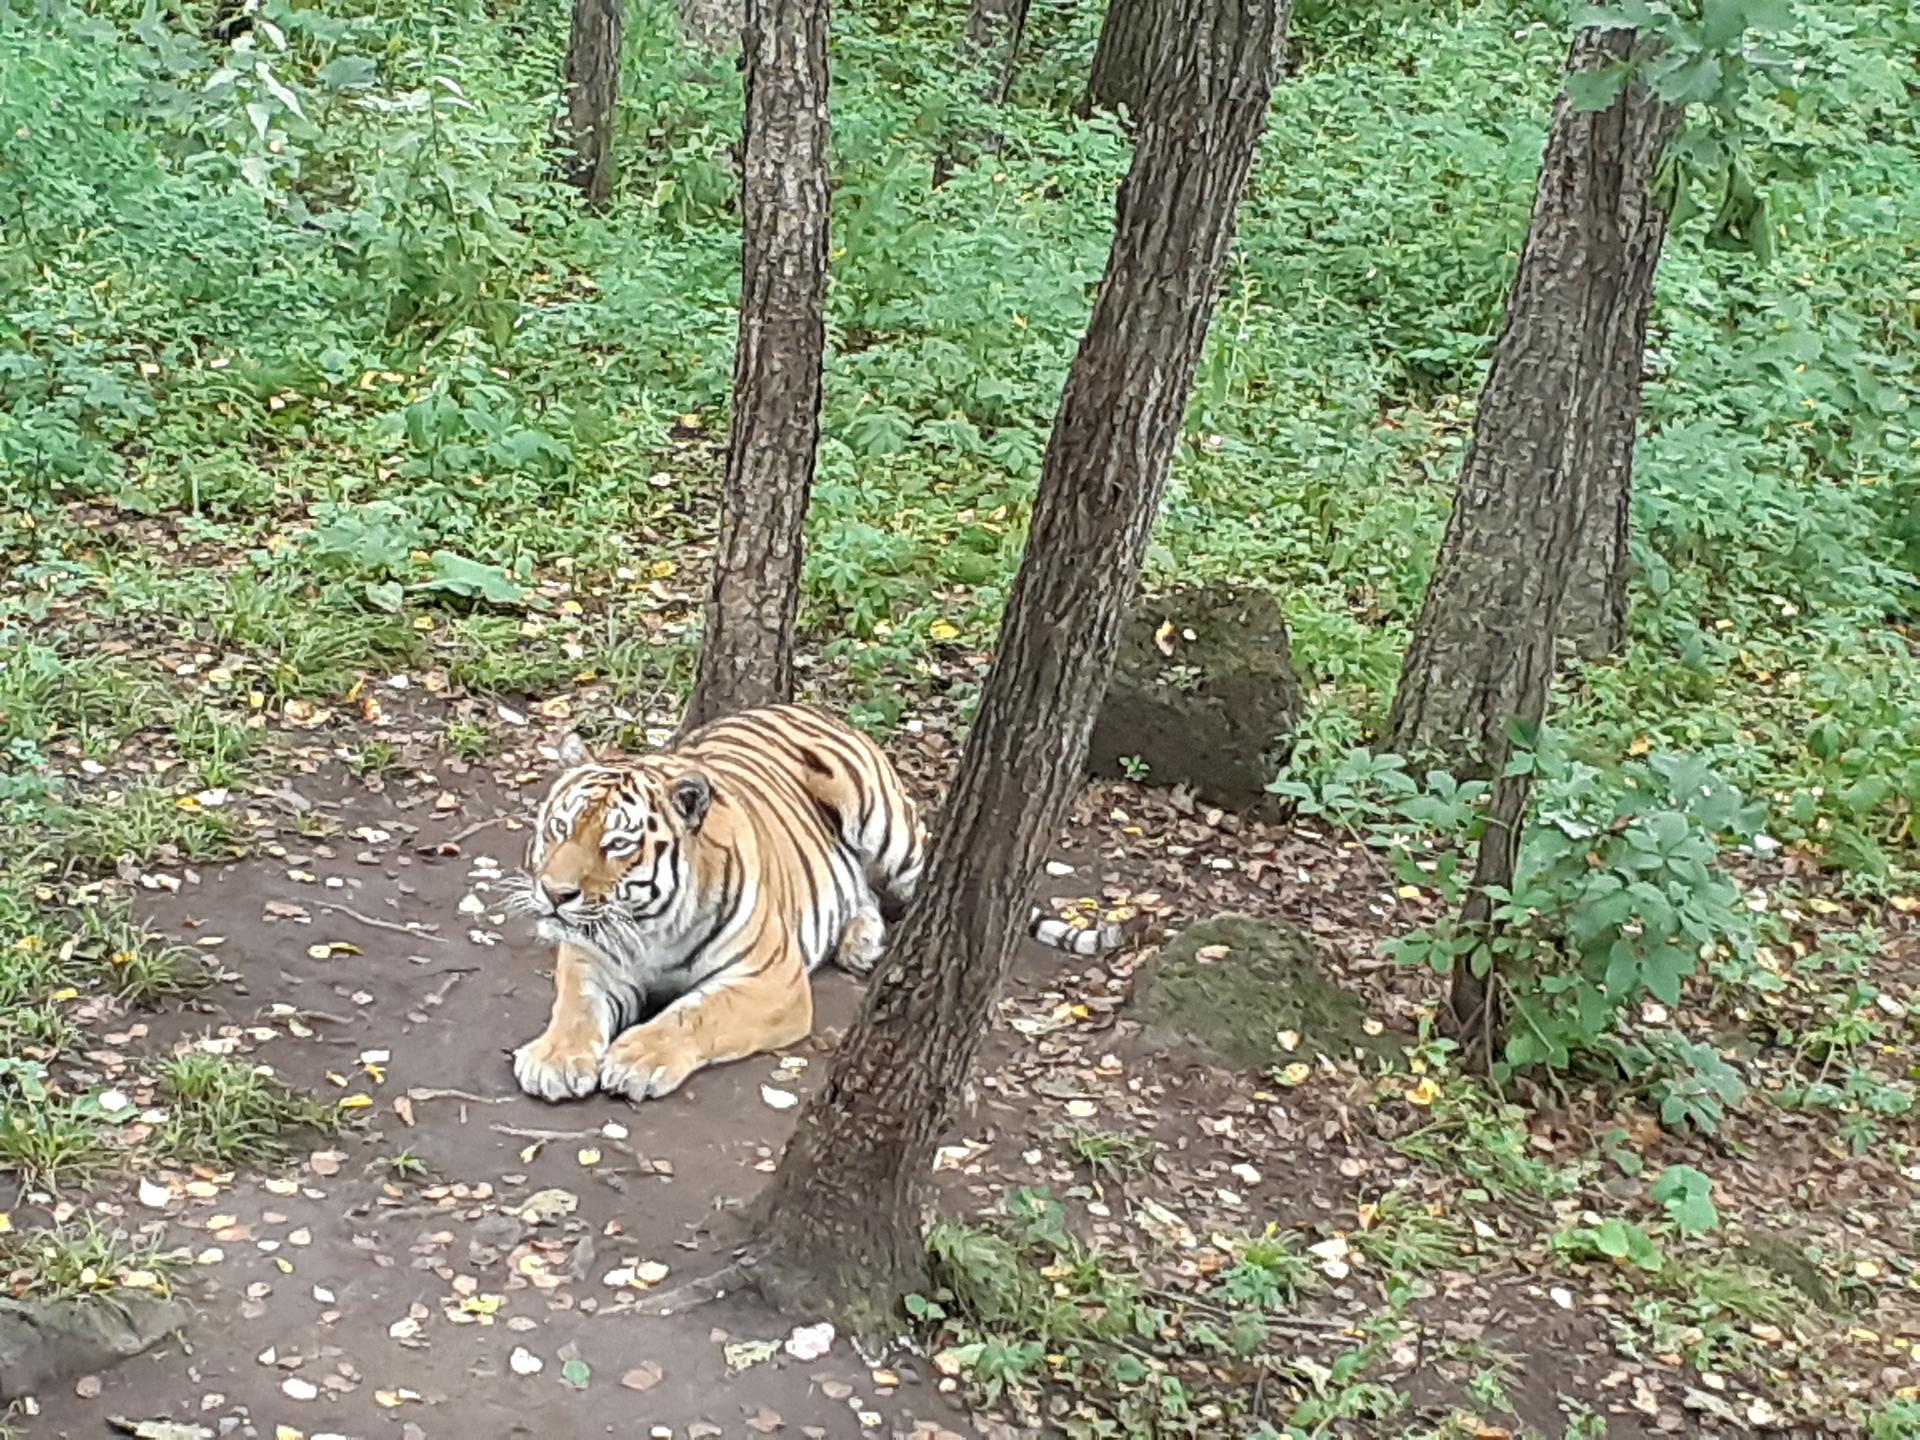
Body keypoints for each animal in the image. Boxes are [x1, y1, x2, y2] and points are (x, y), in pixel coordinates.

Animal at [506, 702, 1121, 1105]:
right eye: (559, 828)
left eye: (617, 844)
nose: (554, 894)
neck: (648, 923)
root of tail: (805, 704)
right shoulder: (590, 958)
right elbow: (575, 1008)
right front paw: (554, 1060)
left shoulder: (768, 980)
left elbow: (694, 1013)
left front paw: (637, 1058)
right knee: (863, 894)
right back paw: (861, 942)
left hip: (883, 826)